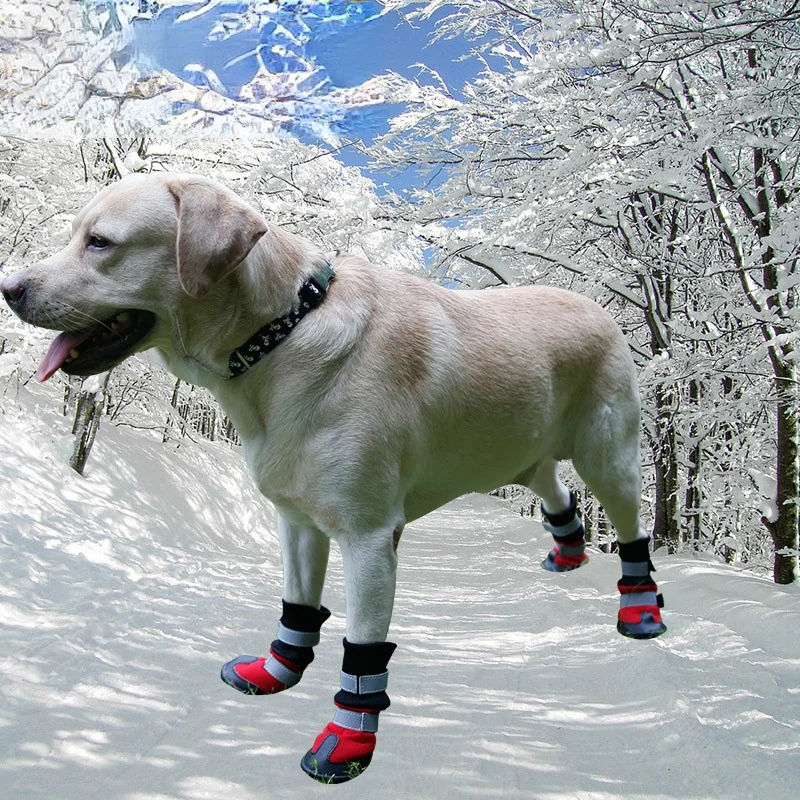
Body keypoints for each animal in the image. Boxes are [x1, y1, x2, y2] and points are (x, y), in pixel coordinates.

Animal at [0, 173, 664, 780]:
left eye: (101, 242)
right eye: (75, 234)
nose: (8, 287)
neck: (279, 335)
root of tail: (595, 304)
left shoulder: (368, 538)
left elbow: (364, 652)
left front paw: (347, 741)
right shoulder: (296, 520)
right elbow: (297, 608)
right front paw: (275, 672)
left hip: (610, 456)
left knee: (633, 533)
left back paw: (640, 611)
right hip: (520, 454)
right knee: (555, 486)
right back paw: (568, 550)